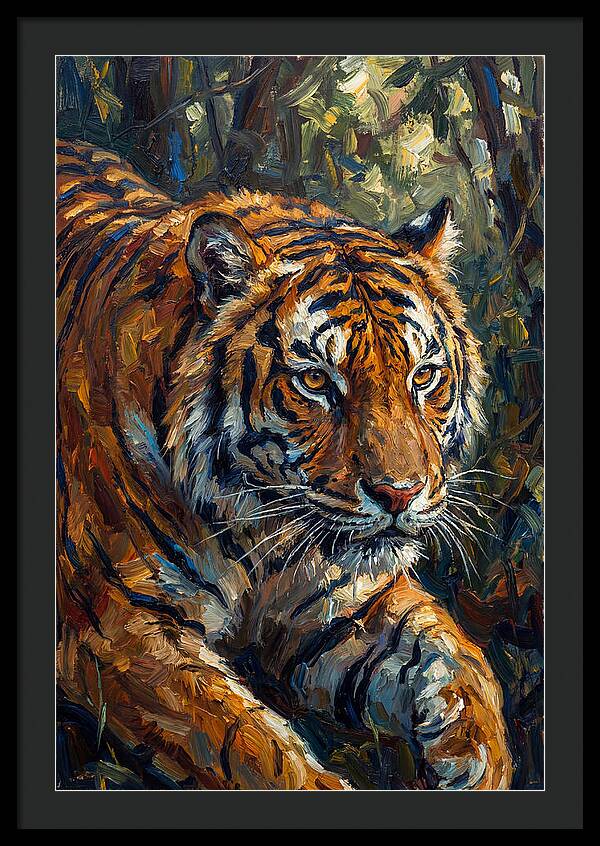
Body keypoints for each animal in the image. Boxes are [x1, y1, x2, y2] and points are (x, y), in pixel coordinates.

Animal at [56, 138, 513, 790]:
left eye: (424, 377)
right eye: (317, 382)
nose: (400, 494)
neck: (260, 536)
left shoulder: (347, 604)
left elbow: (460, 663)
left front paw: (478, 765)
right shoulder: (118, 631)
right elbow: (251, 750)